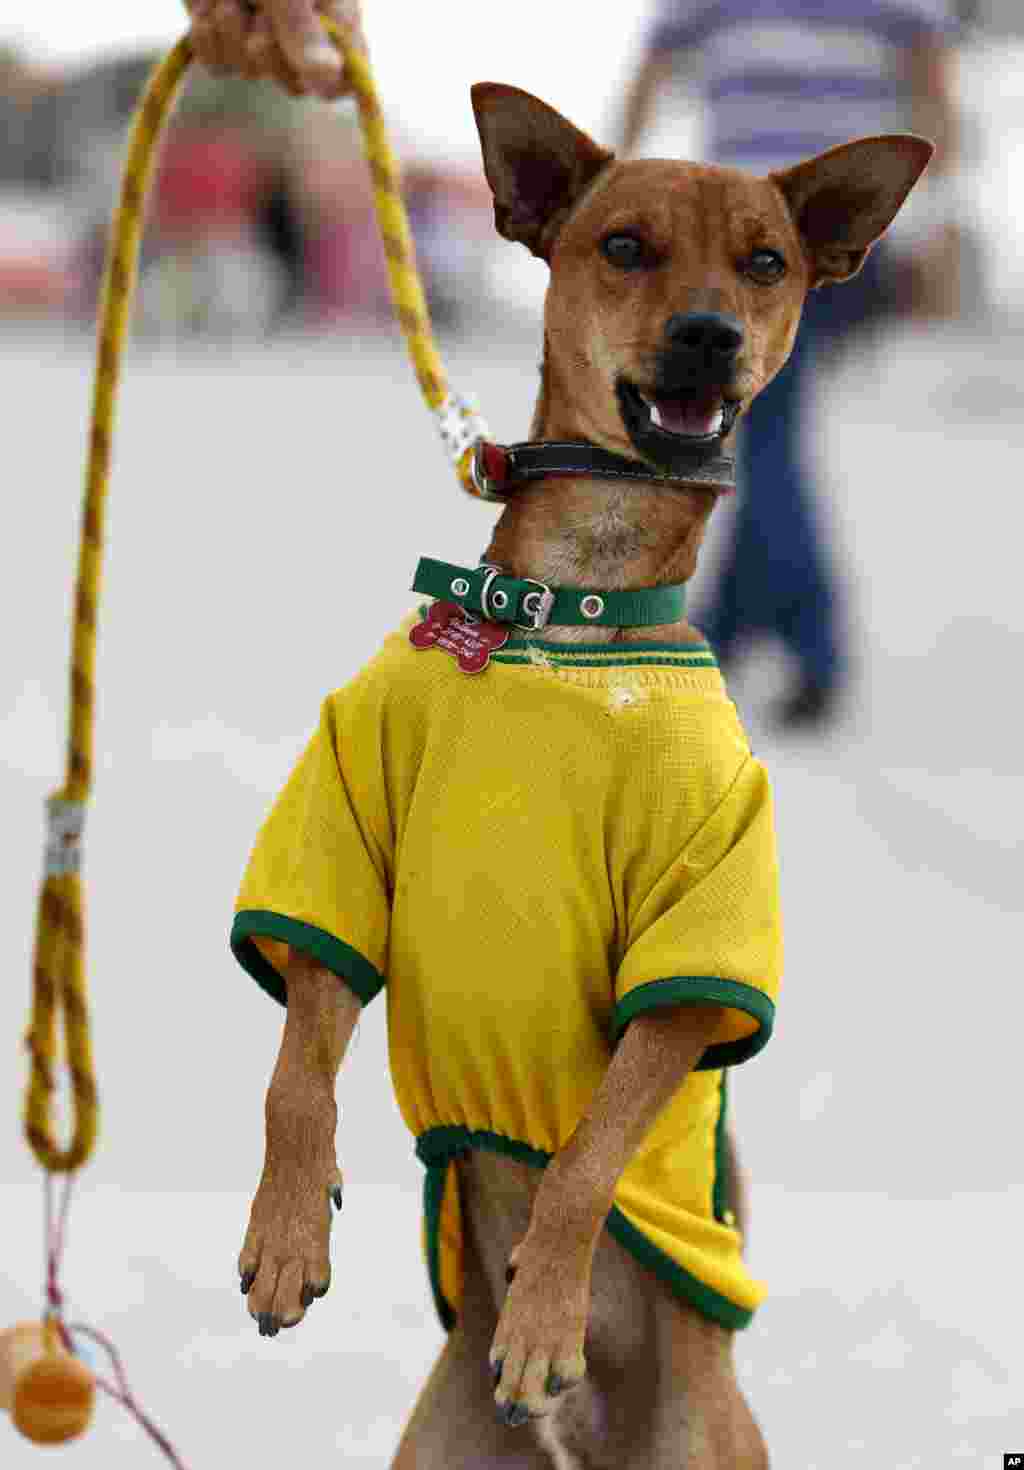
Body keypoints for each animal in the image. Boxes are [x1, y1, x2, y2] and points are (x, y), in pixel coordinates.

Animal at [233, 83, 934, 1470]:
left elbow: (583, 1155)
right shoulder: (347, 845)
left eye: (765, 263)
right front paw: (285, 1232)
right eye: (623, 246)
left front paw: (545, 1314)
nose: (711, 335)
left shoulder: (687, 960)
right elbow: (297, 1069)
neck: (570, 609)